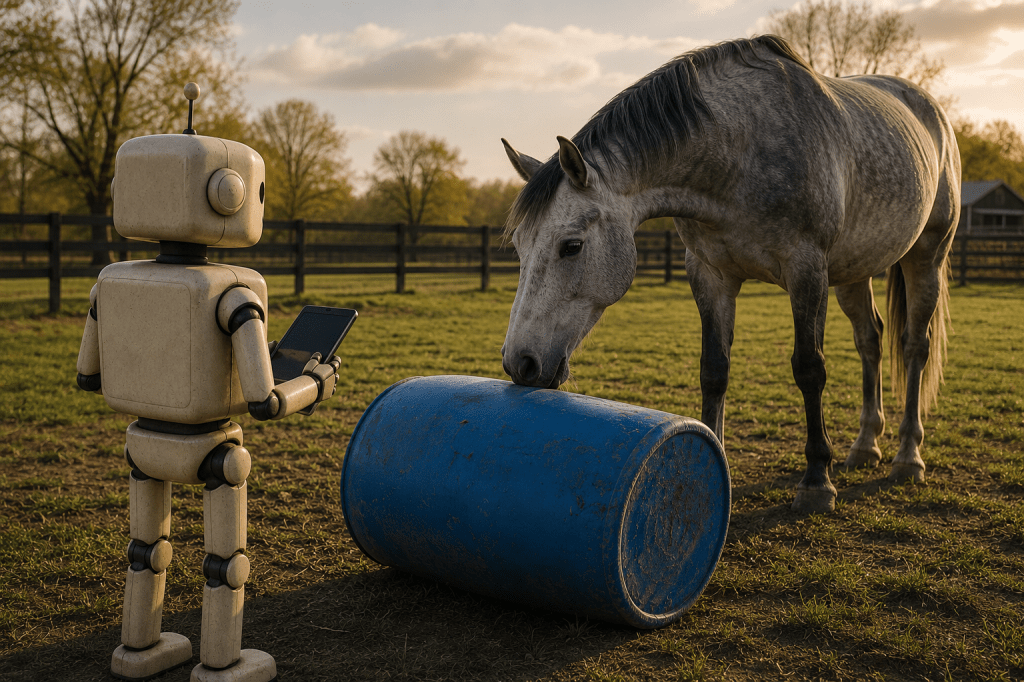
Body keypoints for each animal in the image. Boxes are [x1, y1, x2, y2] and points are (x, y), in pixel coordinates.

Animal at [499, 35, 959, 514]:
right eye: (519, 246)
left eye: (571, 245)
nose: (520, 363)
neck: (740, 152)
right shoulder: (710, 275)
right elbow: (714, 370)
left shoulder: (806, 271)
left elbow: (809, 368)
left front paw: (817, 481)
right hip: (855, 270)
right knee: (870, 339)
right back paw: (866, 445)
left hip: (927, 255)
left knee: (914, 346)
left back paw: (908, 457)